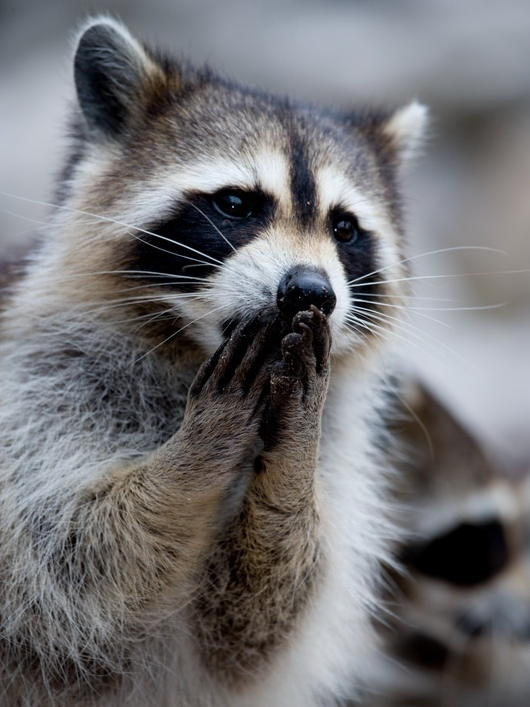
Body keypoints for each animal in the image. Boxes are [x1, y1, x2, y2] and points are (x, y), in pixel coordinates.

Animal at [0, 17, 427, 707]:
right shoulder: (34, 392)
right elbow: (69, 554)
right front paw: (199, 450)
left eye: (343, 228)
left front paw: (289, 464)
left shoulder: (341, 453)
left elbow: (250, 627)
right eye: (235, 204)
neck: (192, 352)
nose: (310, 292)